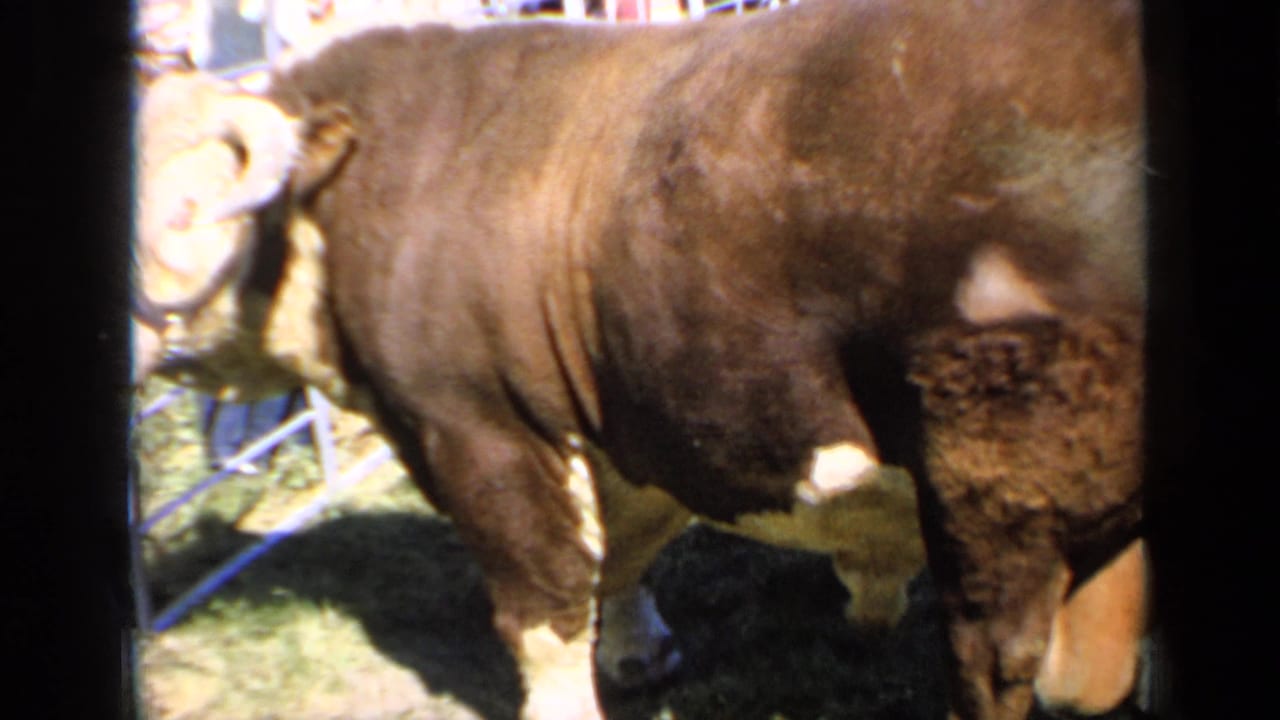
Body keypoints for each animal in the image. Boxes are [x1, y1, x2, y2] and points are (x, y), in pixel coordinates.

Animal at [131, 1, 1150, 718]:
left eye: (180, 205)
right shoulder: (623, 419)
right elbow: (621, 555)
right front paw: (638, 653)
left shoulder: (478, 430)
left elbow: (542, 614)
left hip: (999, 490)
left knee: (996, 660)